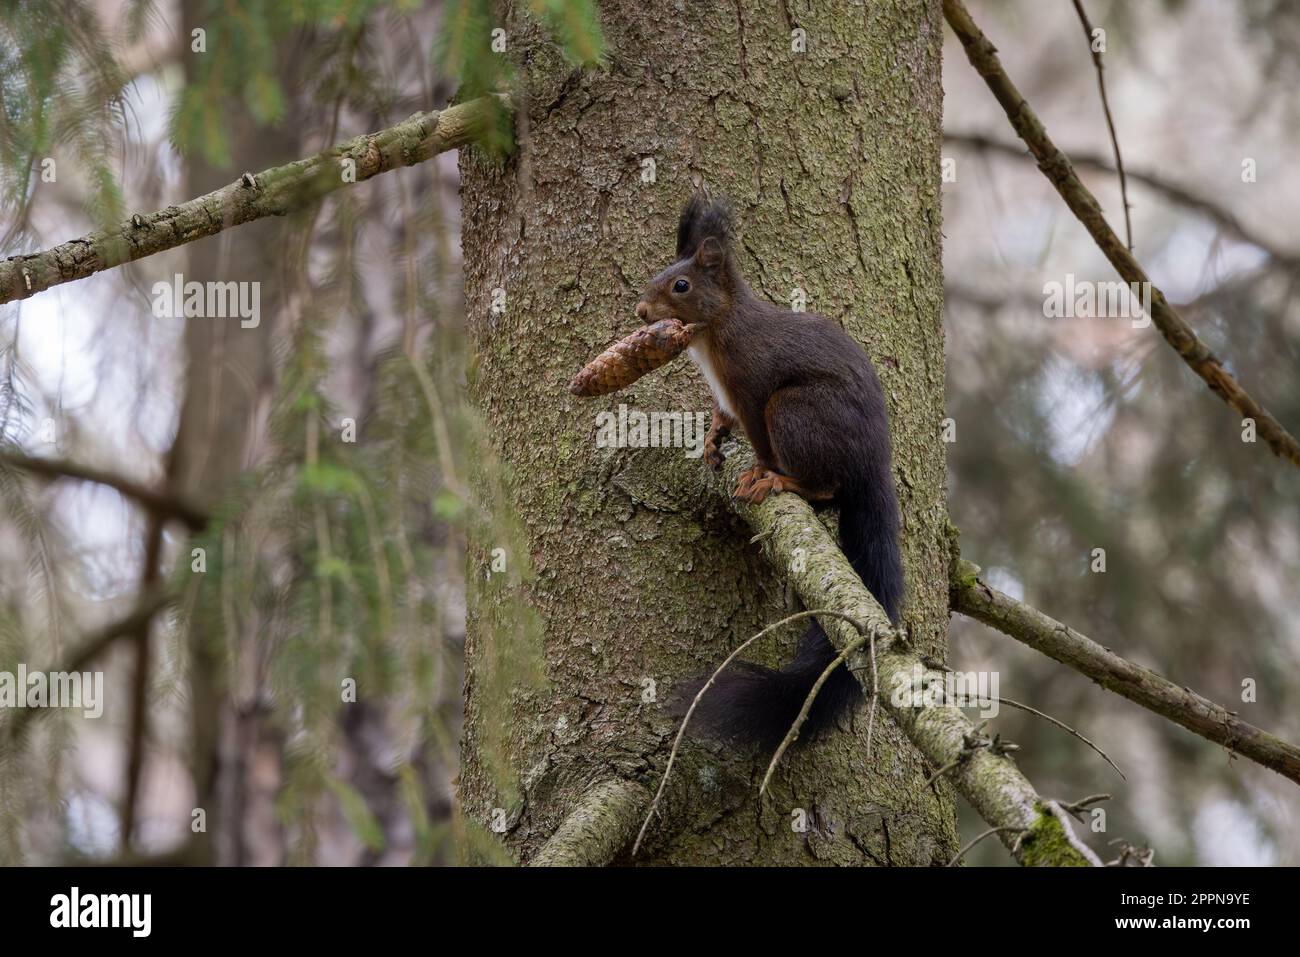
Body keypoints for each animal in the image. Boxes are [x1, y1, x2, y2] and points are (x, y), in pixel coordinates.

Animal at [637, 195, 904, 752]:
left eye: (681, 286)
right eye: (659, 275)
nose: (641, 313)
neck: (716, 333)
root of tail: (874, 465)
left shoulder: (755, 389)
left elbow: (757, 438)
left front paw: (758, 470)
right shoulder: (728, 396)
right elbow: (723, 417)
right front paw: (713, 437)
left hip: (795, 411)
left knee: (826, 487)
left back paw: (783, 480)